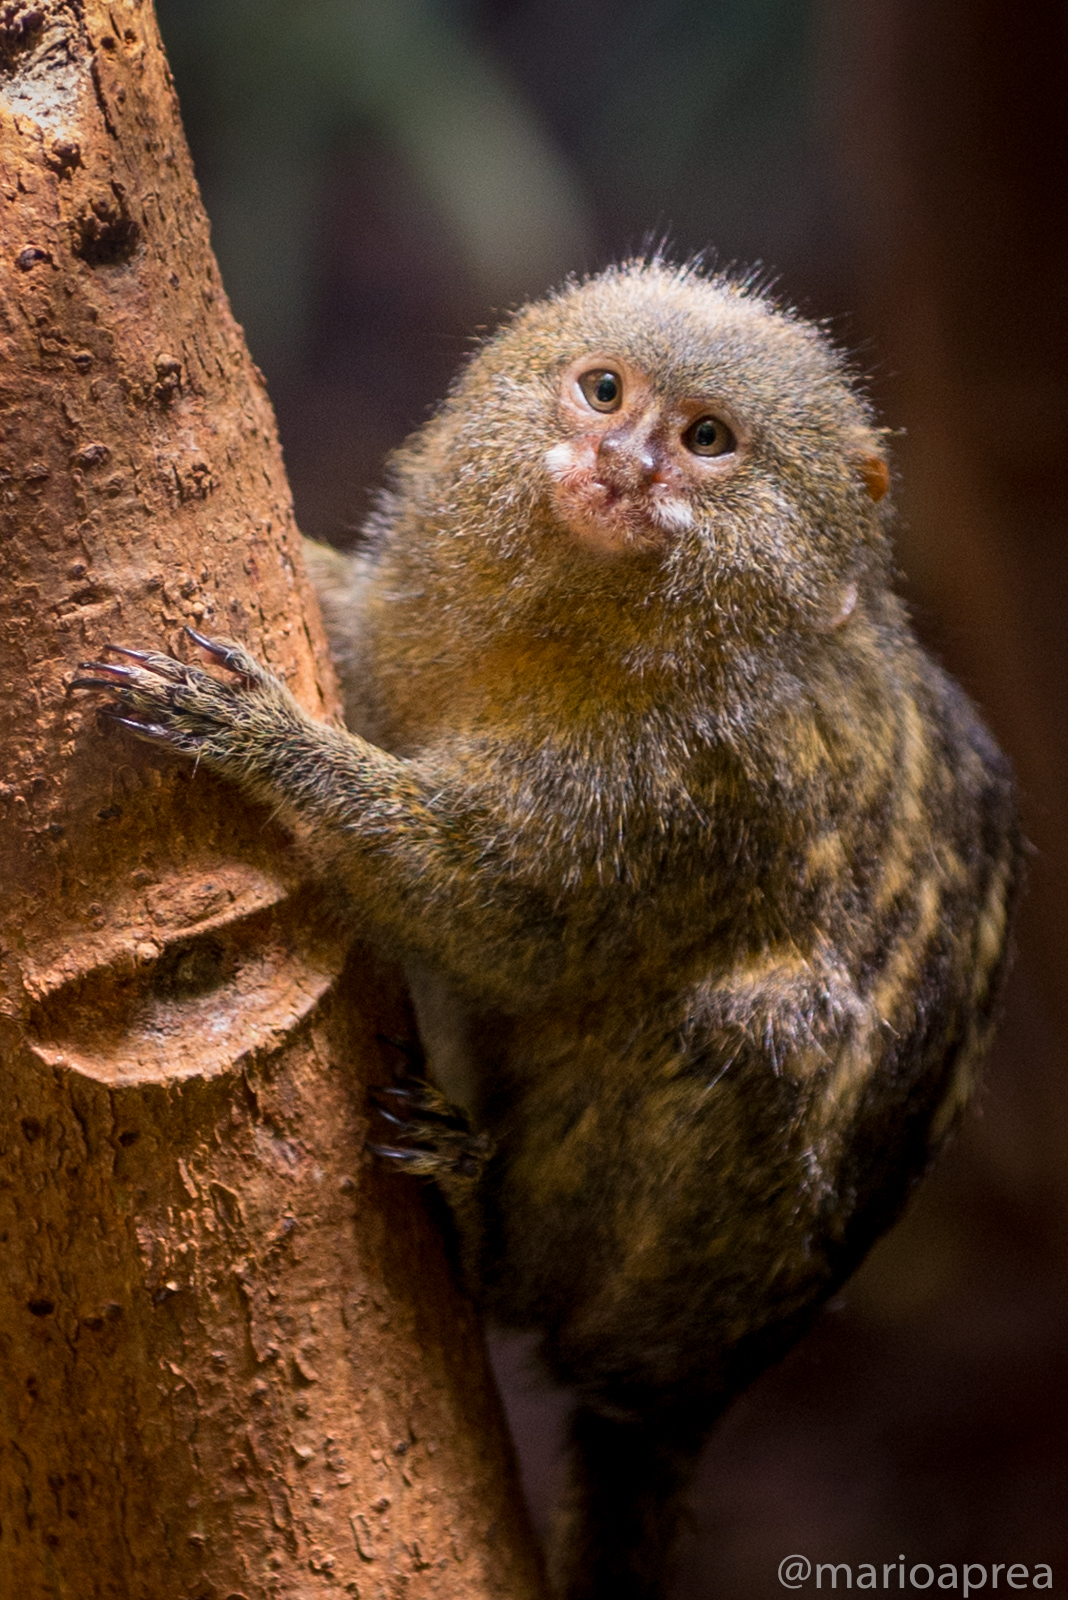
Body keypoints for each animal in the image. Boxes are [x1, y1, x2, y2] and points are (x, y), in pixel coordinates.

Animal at [72, 259, 1021, 1600]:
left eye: (708, 441)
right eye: (605, 389)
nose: (621, 463)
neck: (592, 636)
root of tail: (694, 1396)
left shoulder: (695, 780)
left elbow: (507, 923)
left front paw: (264, 740)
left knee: (756, 1034)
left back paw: (484, 1244)